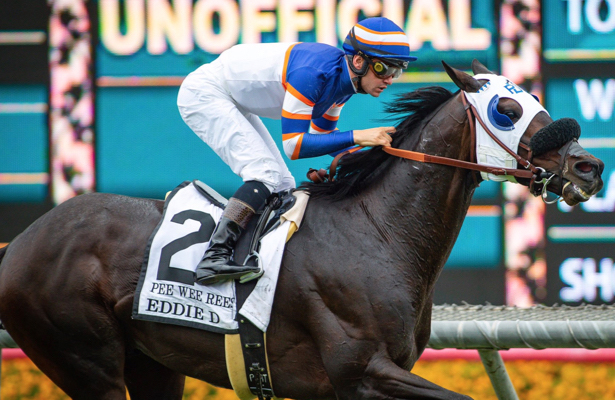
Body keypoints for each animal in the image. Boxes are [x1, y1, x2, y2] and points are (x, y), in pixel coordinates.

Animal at [0, 61, 608, 398]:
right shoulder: (361, 374)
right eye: (507, 108)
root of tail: (20, 243)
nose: (589, 166)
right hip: (85, 359)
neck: (377, 232)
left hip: (153, 364)